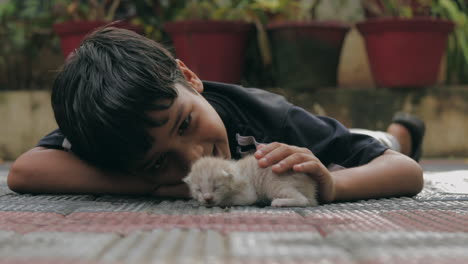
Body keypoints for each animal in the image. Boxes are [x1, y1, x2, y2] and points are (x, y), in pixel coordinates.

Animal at [183, 155, 318, 208]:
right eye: (199, 190)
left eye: (216, 187)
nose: (207, 198)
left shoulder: (248, 193)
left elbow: (231, 200)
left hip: (273, 184)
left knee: (303, 200)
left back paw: (279, 202)